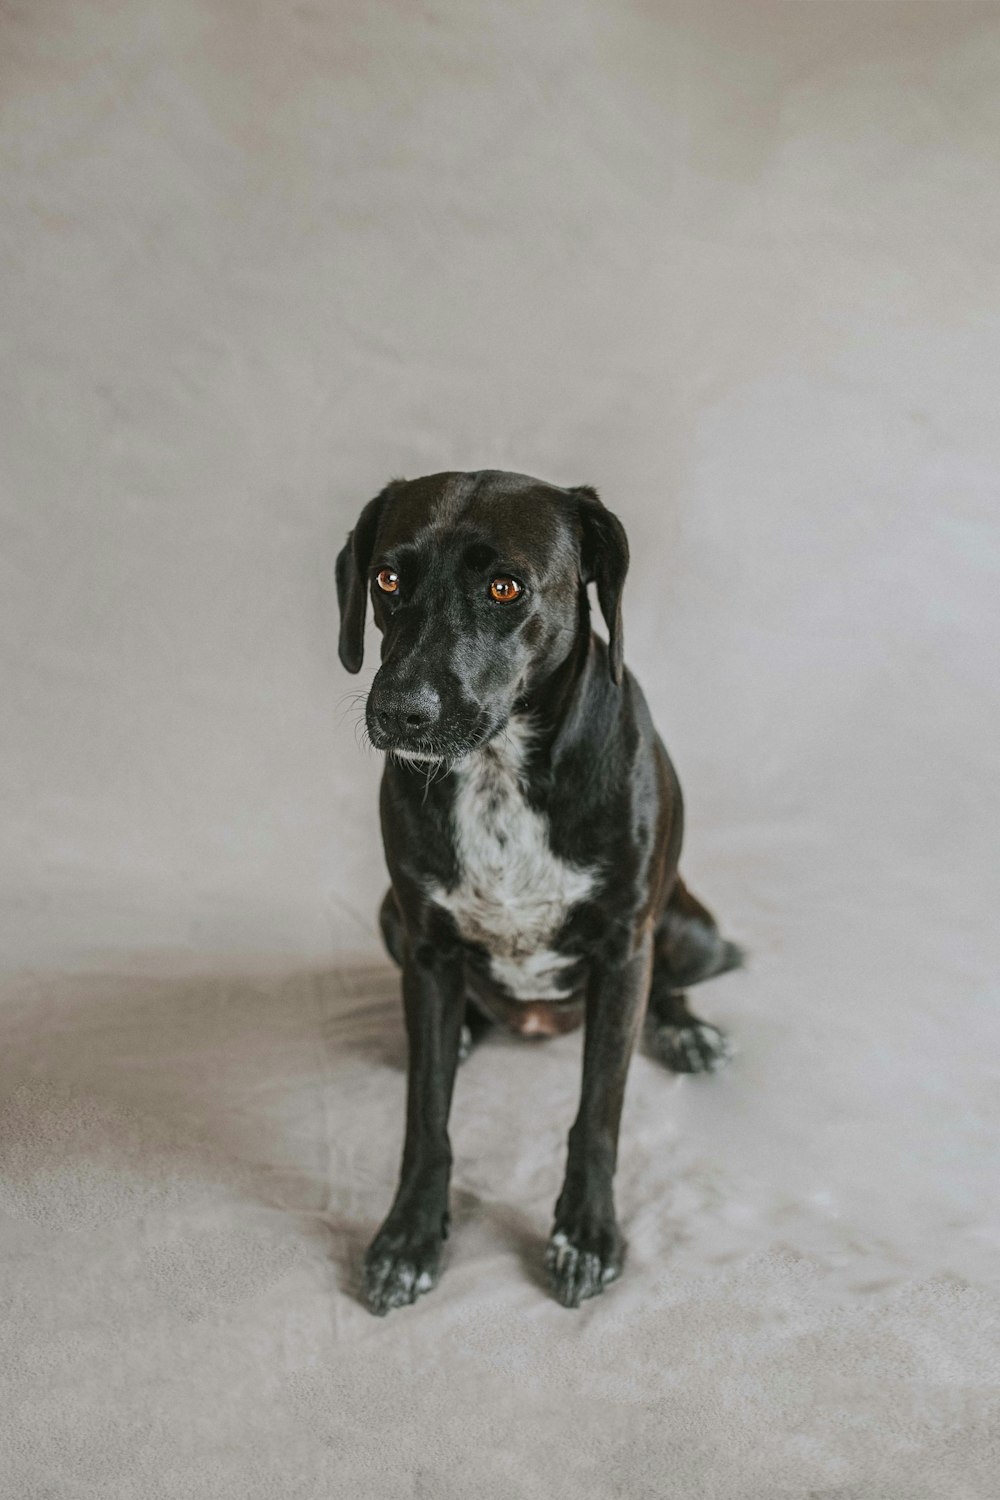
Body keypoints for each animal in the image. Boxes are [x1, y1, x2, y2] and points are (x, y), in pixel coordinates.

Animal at [335, 471, 743, 1314]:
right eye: (387, 579)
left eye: (504, 587)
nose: (398, 712)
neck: (498, 771)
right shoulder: (426, 946)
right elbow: (426, 1116)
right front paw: (409, 1237)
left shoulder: (623, 948)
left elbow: (598, 1113)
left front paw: (584, 1235)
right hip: (393, 921)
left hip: (688, 931)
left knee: (672, 984)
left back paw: (687, 1031)